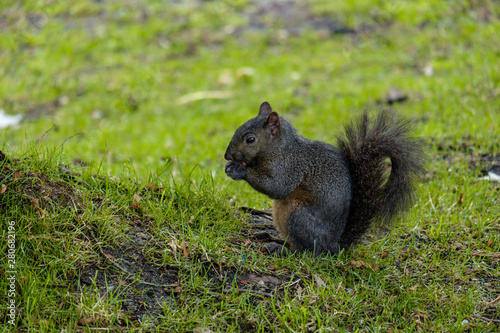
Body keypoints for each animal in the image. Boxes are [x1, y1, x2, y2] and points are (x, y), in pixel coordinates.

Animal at [225, 101, 424, 254]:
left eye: (250, 139)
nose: (227, 156)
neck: (279, 148)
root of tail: (333, 245)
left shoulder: (290, 167)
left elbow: (278, 187)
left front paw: (239, 170)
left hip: (297, 216)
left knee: (307, 251)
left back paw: (281, 249)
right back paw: (271, 237)